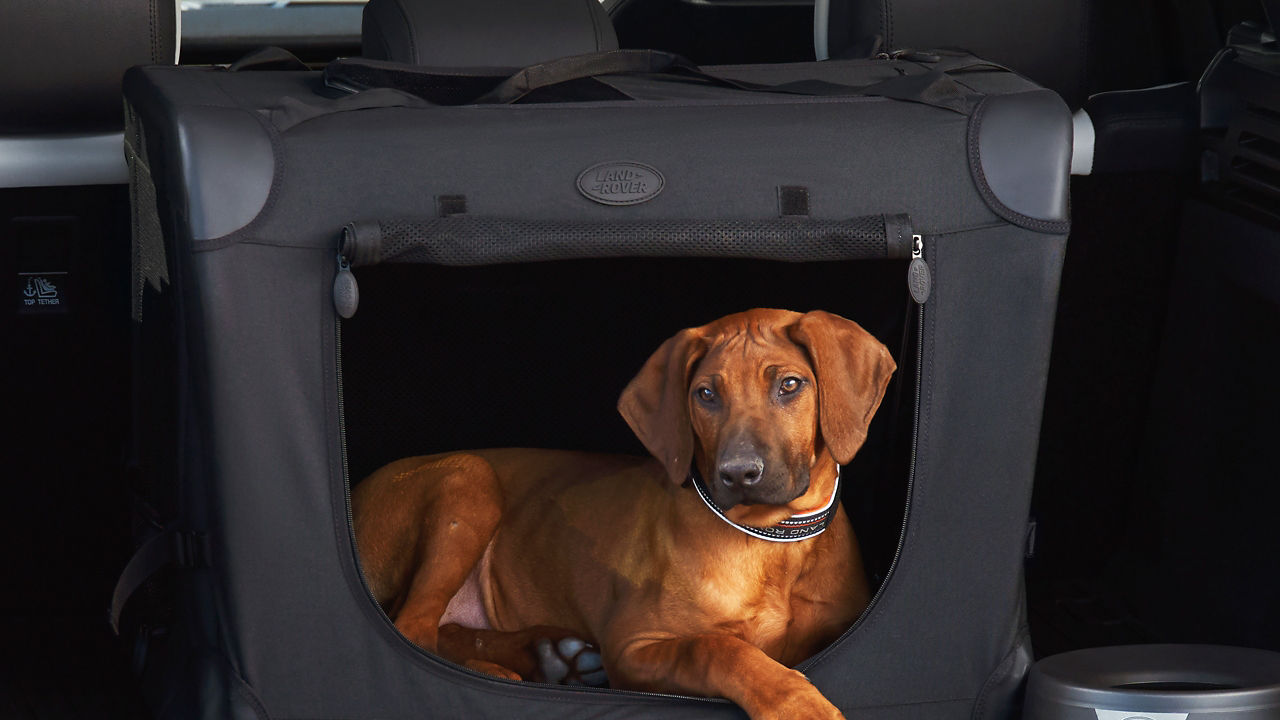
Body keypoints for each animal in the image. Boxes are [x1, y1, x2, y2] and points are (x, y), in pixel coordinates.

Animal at [350, 308, 890, 717]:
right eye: (706, 394)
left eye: (790, 385)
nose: (738, 474)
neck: (769, 541)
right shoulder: (633, 647)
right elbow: (716, 648)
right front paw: (795, 701)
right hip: (469, 478)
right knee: (413, 629)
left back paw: (552, 657)